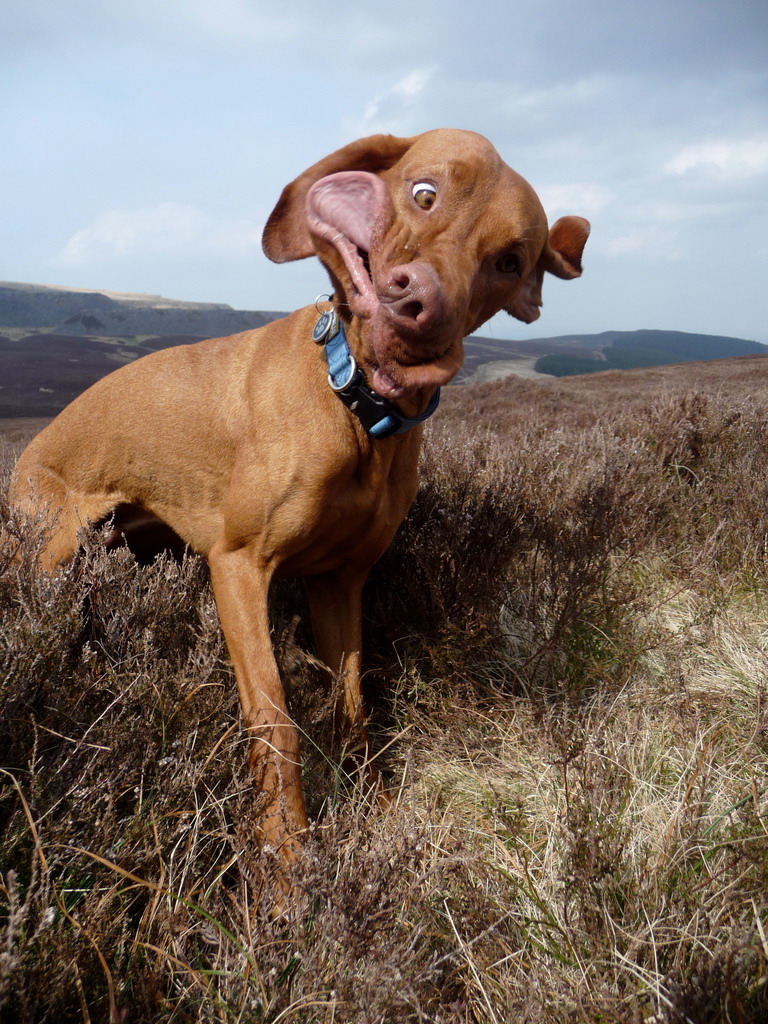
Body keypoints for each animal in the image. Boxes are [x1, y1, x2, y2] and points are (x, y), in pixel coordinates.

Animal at [10, 132, 589, 888]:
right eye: (424, 193)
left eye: (510, 260)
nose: (419, 306)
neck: (354, 407)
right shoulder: (238, 568)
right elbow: (274, 719)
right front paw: (286, 863)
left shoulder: (339, 582)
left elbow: (352, 707)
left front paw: (371, 809)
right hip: (49, 557)